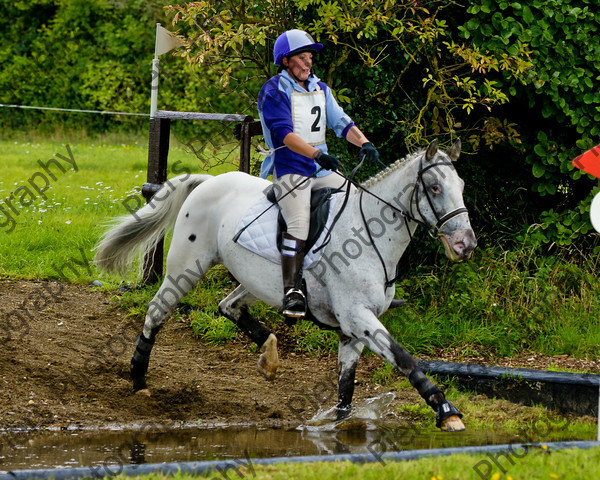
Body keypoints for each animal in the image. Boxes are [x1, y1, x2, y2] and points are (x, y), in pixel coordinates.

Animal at [95, 138, 478, 432]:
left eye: (461, 187)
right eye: (434, 188)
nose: (465, 245)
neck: (369, 232)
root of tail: (209, 181)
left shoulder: (352, 331)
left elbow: (346, 387)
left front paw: (340, 425)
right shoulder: (359, 318)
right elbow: (405, 359)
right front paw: (447, 413)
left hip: (256, 281)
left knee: (228, 306)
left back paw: (269, 356)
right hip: (186, 268)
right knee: (158, 311)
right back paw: (138, 379)